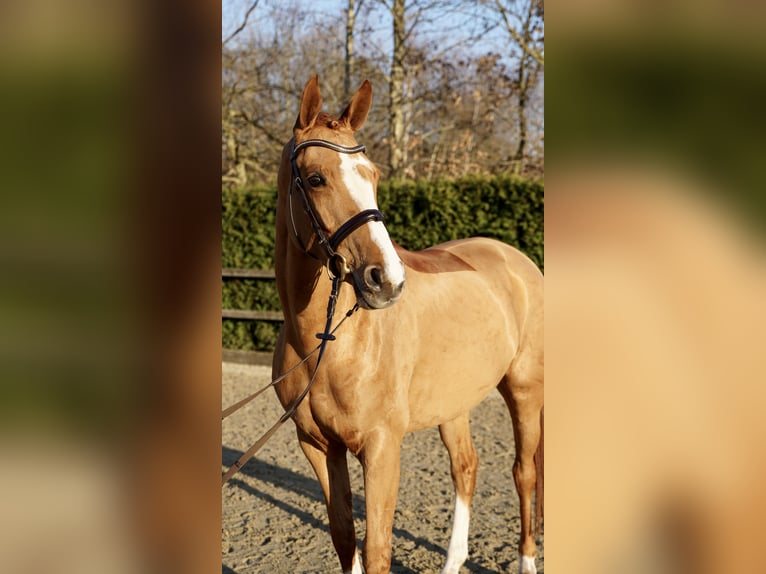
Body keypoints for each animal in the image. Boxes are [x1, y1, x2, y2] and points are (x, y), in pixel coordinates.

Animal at [272, 76, 544, 574]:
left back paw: (527, 561)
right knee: (466, 467)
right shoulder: (318, 446)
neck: (328, 343)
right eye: (316, 179)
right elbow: (345, 539)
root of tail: (515, 259)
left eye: (373, 175)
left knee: (524, 472)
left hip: (524, 391)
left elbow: (378, 549)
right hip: (454, 402)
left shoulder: (382, 448)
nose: (387, 280)